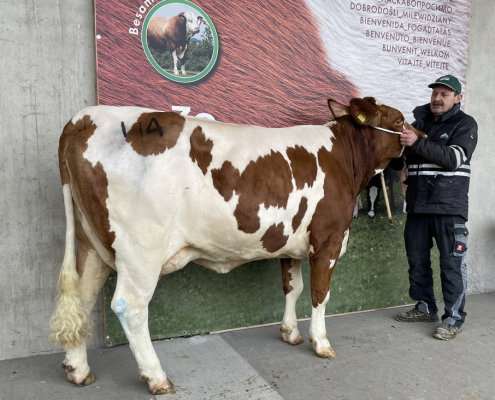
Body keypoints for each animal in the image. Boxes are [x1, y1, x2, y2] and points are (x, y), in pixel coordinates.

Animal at [49, 97, 422, 394]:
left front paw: (290, 333)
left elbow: (293, 287)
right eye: (398, 121)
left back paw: (78, 370)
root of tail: (85, 117)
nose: (418, 137)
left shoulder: (288, 244)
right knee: (130, 307)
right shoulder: (328, 240)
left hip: (90, 243)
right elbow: (320, 294)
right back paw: (157, 378)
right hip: (141, 249)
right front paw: (321, 342)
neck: (342, 159)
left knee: (83, 297)